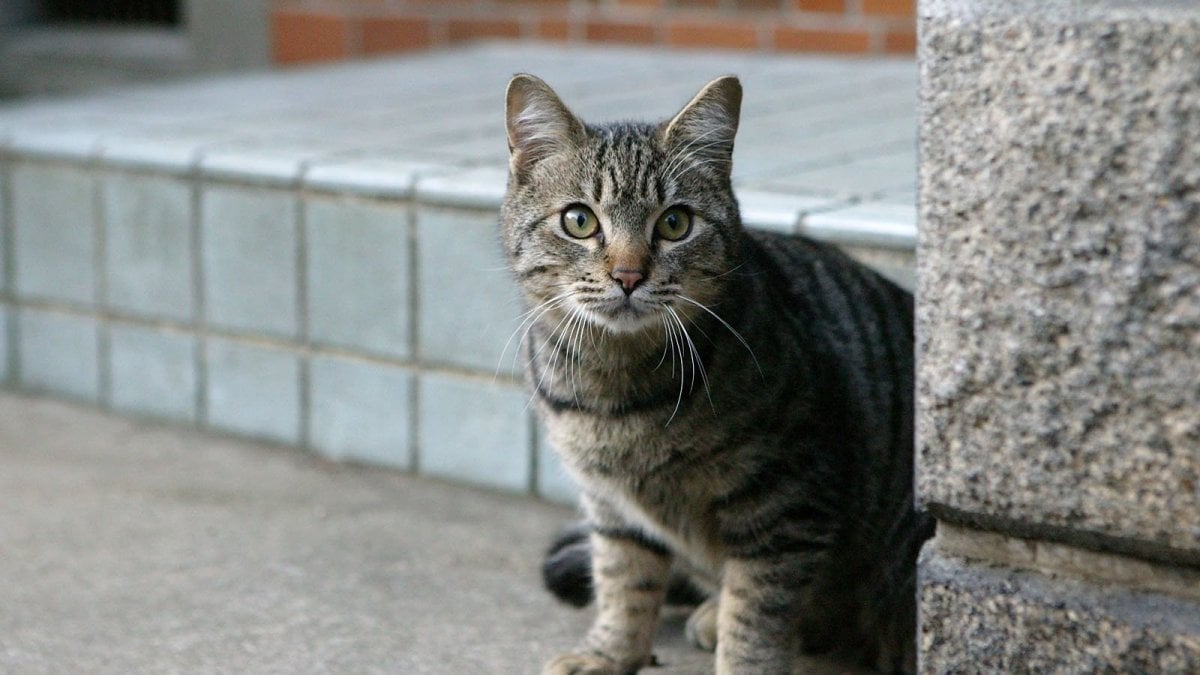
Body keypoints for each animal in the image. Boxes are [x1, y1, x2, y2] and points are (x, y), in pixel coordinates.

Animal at [501, 73, 931, 672]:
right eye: (579, 220)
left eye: (675, 223)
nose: (629, 275)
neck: (616, 389)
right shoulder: (612, 508)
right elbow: (622, 582)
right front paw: (610, 652)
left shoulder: (786, 506)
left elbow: (757, 614)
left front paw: (741, 656)